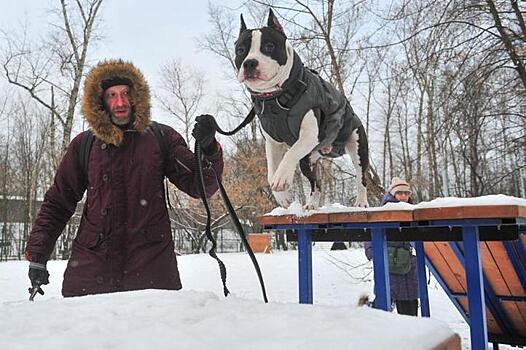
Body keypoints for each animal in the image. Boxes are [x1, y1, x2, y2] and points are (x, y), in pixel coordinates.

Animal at [235, 9, 372, 209]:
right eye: (240, 50)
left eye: (269, 46)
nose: (250, 63)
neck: (276, 97)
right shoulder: (272, 143)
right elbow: (270, 170)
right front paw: (282, 196)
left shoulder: (309, 135)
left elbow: (290, 152)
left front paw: (281, 177)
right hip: (307, 160)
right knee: (317, 183)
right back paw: (312, 203)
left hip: (357, 144)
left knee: (361, 176)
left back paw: (361, 202)